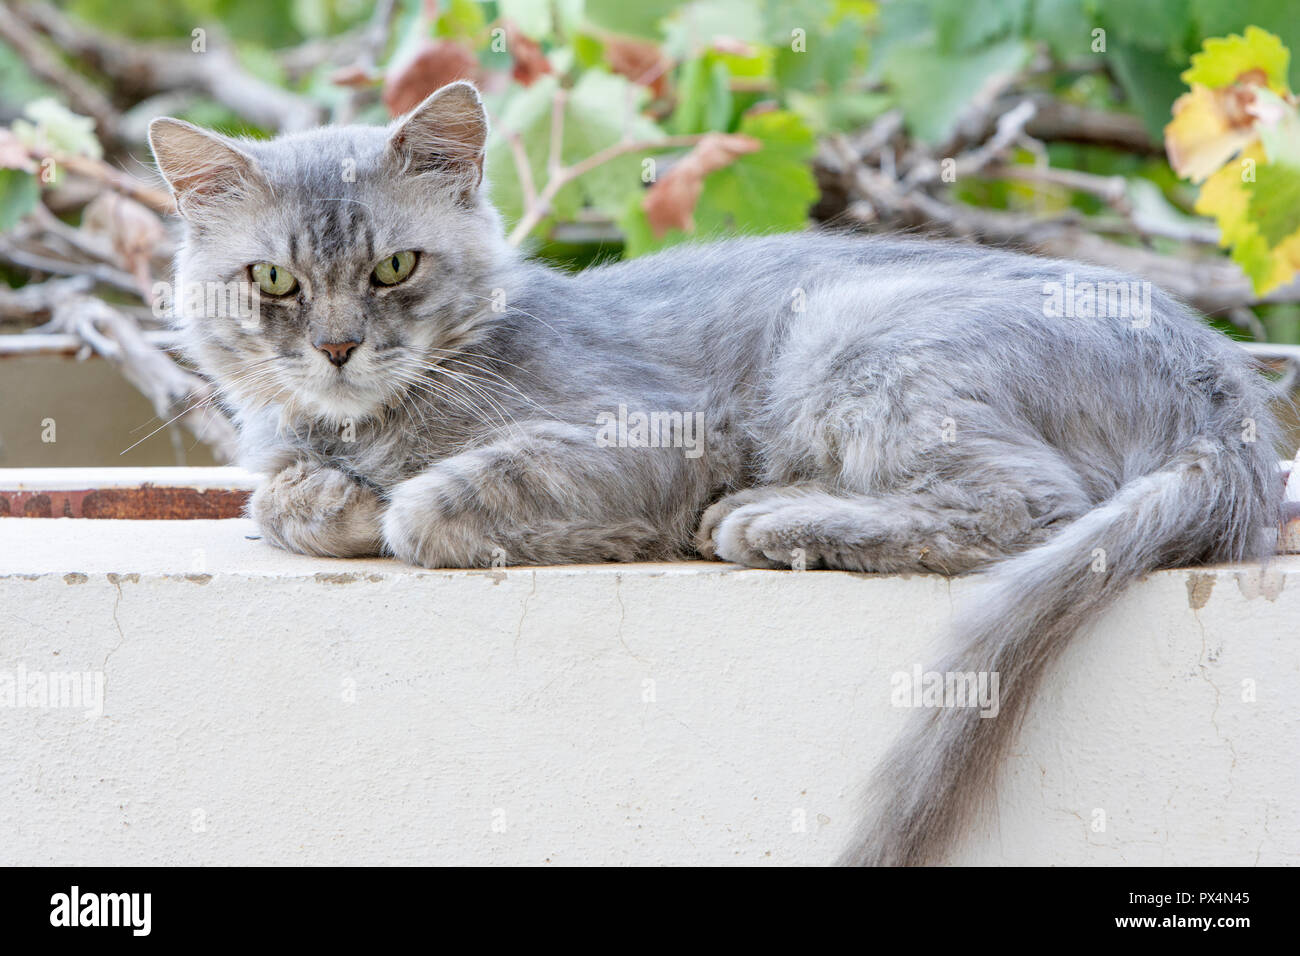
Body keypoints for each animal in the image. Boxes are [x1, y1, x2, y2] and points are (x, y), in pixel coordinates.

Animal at [147, 82, 1284, 868]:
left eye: (394, 268)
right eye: (273, 280)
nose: (337, 348)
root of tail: (1225, 393)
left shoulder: (653, 436)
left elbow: (432, 505)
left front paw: (391, 505)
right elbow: (278, 497)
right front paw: (326, 497)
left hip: (861, 340)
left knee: (1024, 506)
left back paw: (767, 519)